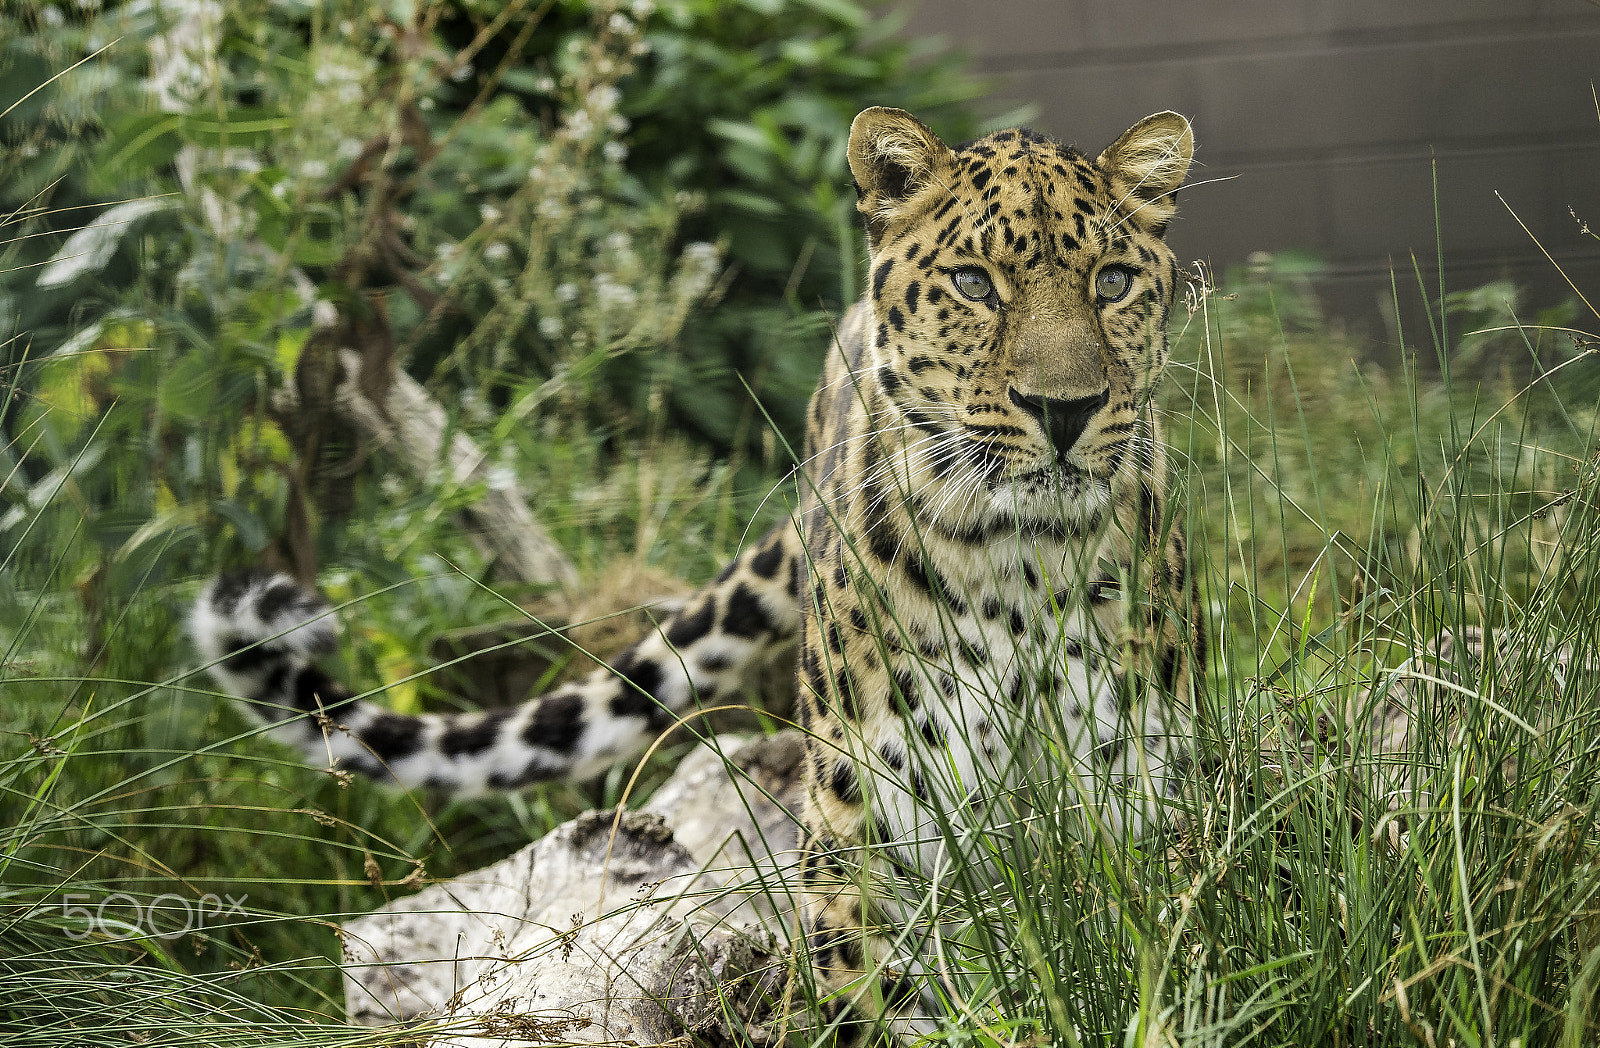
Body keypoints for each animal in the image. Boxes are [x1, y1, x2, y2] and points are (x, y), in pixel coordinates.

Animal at [193, 106, 1203, 1043]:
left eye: (1112, 282)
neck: (1016, 559)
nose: (1064, 411)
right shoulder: (868, 826)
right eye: (974, 284)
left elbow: (1161, 950)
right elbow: (879, 997)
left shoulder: (1144, 787)